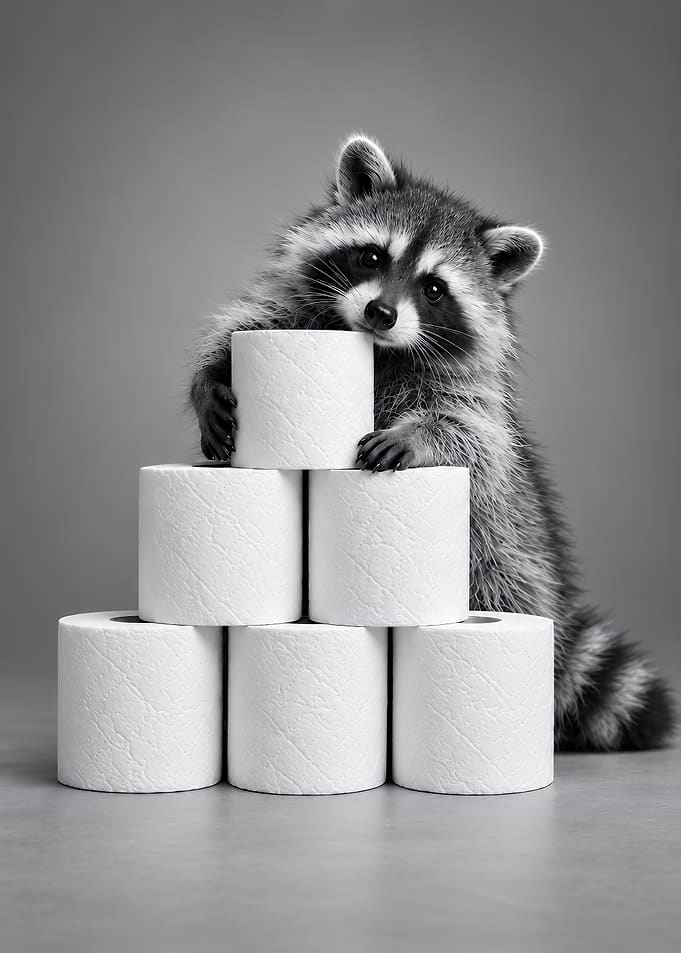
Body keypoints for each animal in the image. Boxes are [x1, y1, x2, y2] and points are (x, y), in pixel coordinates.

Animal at [190, 133, 674, 751]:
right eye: (373, 257)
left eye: (435, 289)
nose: (380, 312)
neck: (380, 350)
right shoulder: (290, 313)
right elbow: (244, 326)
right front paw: (210, 378)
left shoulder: (475, 395)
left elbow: (476, 438)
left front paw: (419, 437)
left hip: (503, 561)